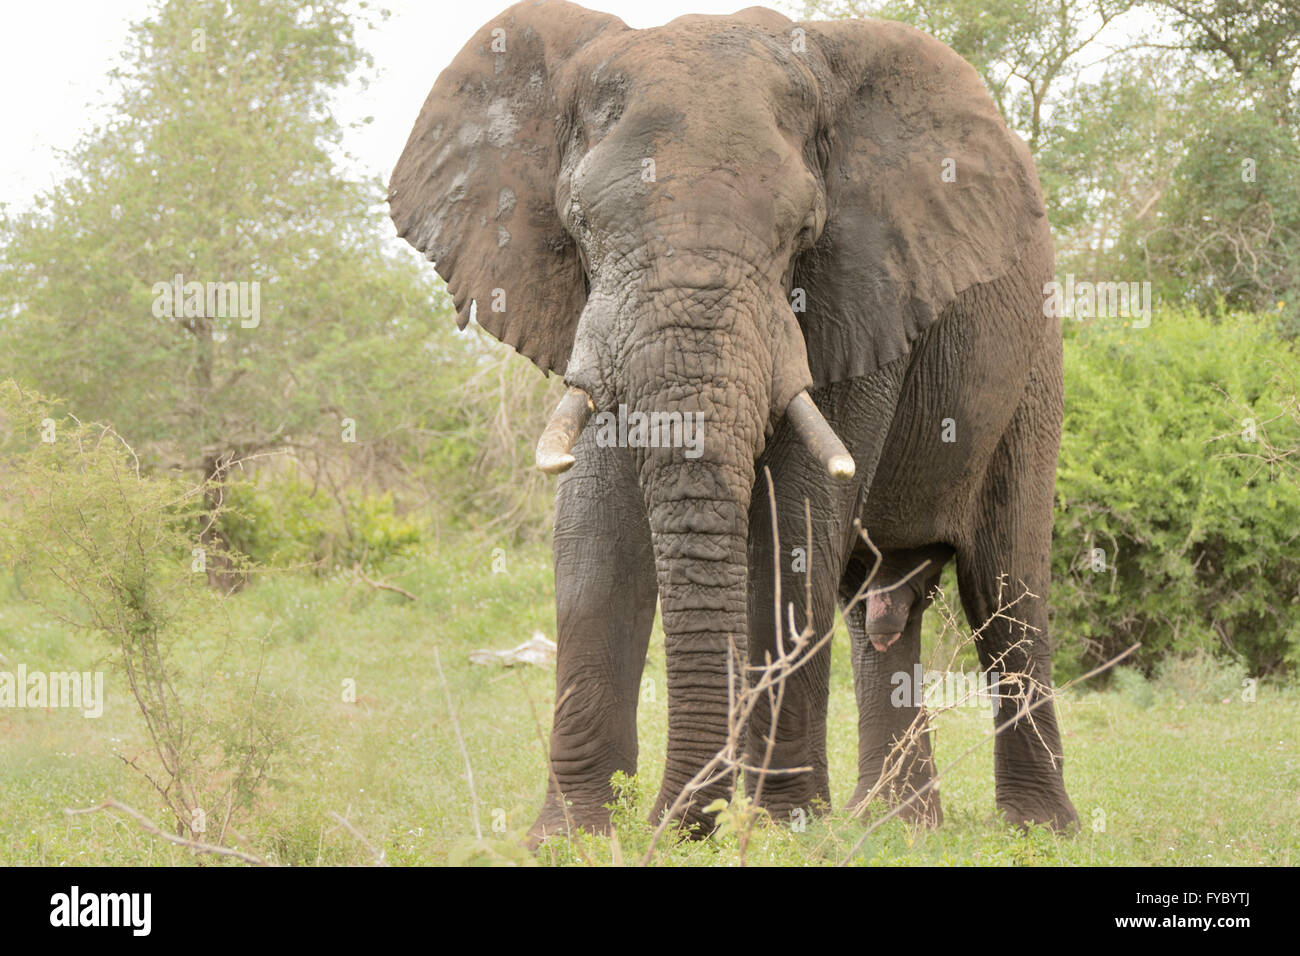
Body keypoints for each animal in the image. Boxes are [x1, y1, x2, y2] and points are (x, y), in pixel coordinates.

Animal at [389, 0, 1079, 842]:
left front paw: (784, 828)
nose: (685, 821)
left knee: (1007, 591)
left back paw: (1039, 830)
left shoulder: (863, 286)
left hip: (1036, 368)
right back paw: (893, 826)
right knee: (878, 607)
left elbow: (796, 523)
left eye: (804, 231)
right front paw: (574, 834)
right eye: (578, 222)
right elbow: (594, 537)